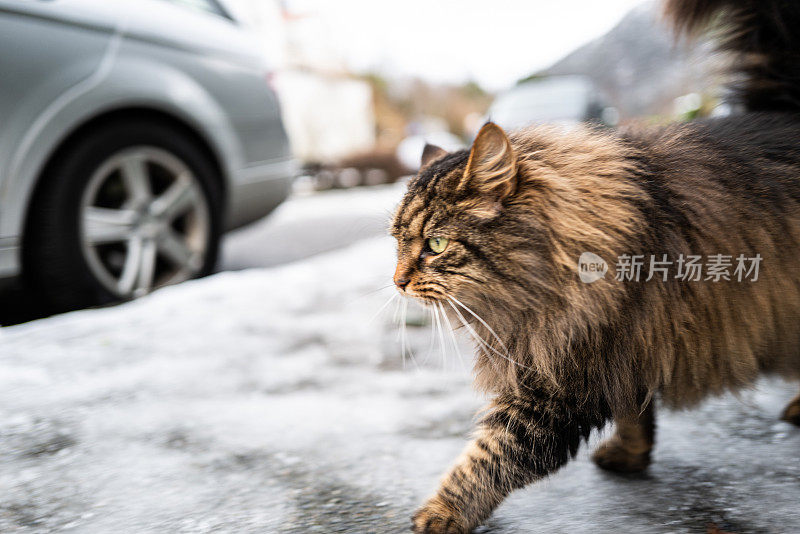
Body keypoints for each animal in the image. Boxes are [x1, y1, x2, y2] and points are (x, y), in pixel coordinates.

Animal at [392, 2, 800, 532]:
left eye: (435, 244)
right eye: (397, 244)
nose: (397, 282)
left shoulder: (562, 380)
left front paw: (439, 514)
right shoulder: (619, 351)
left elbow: (488, 458)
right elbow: (634, 410)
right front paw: (630, 454)